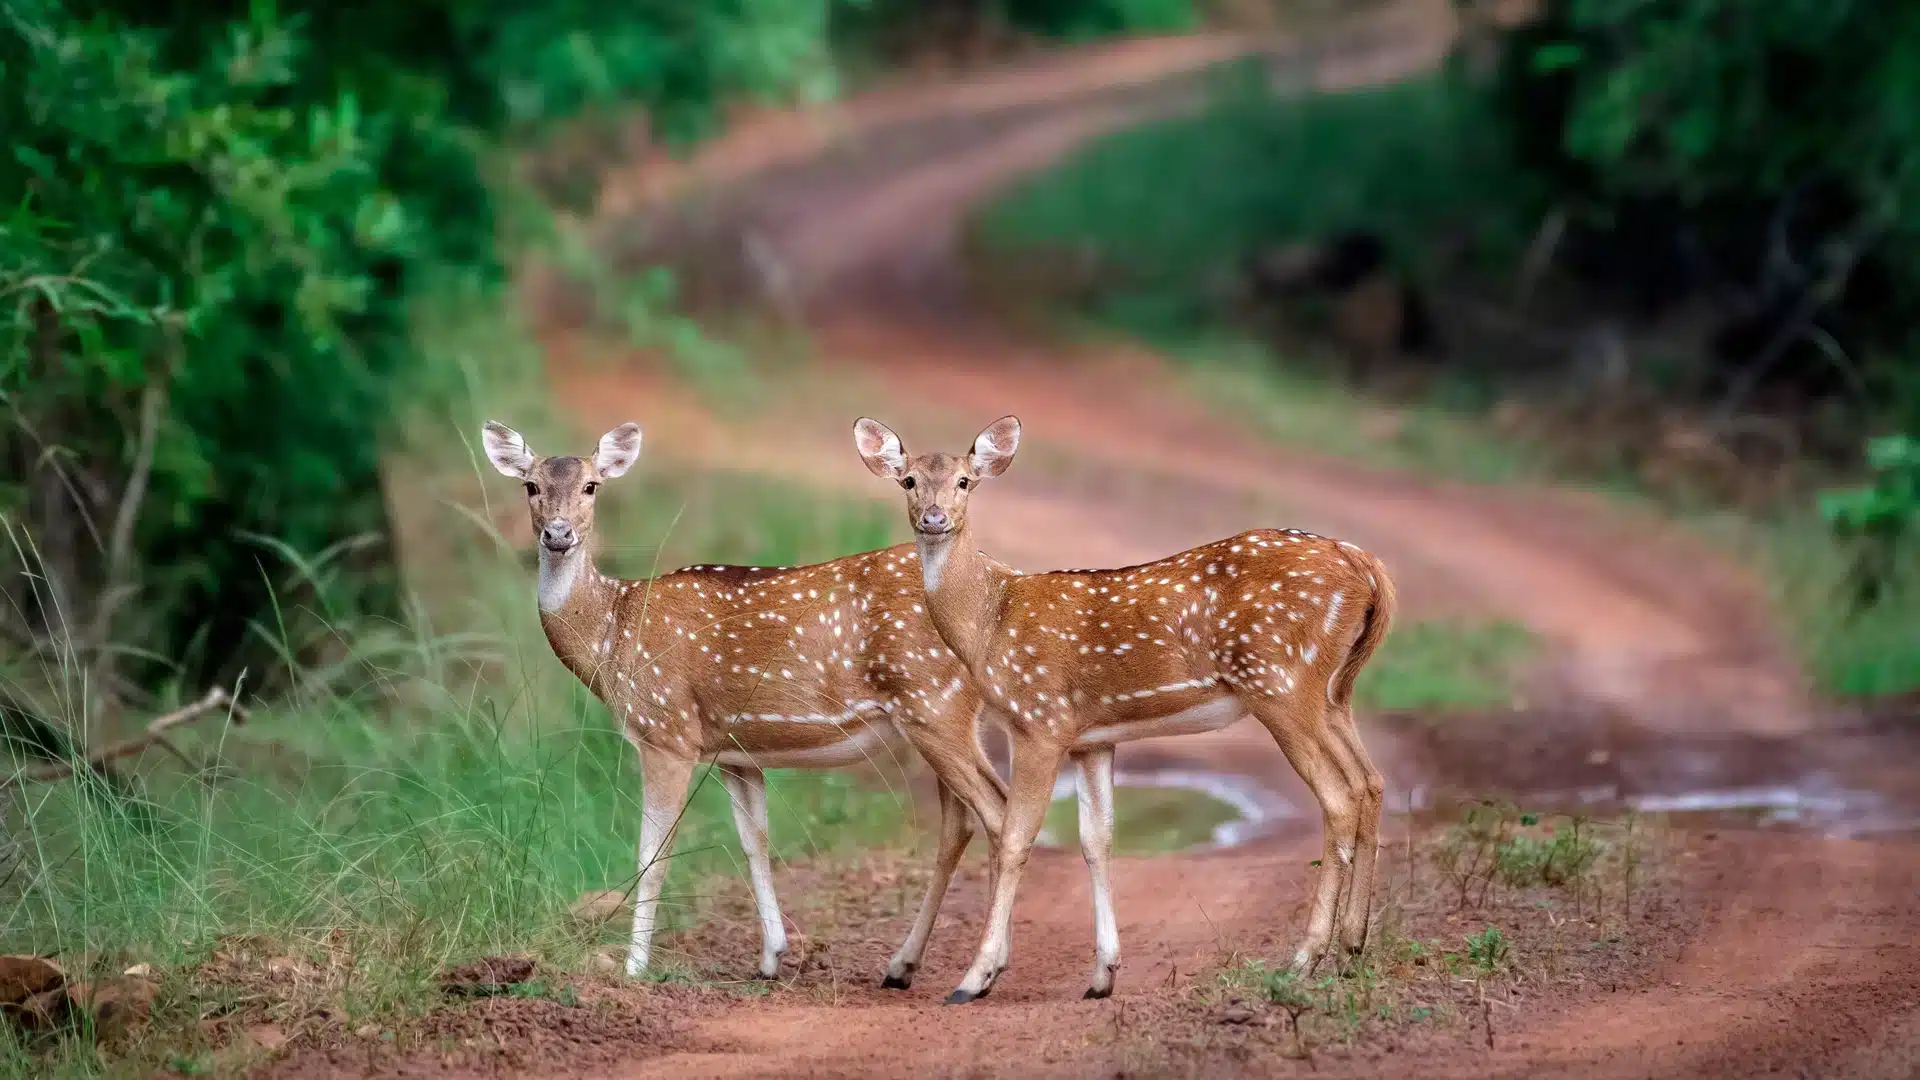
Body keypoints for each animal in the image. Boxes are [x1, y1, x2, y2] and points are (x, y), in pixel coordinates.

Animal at [481, 420, 1009, 987]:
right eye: (531, 486)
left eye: (591, 486)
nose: (557, 534)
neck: (614, 631)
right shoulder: (734, 749)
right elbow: (754, 842)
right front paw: (771, 956)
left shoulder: (667, 729)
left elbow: (654, 853)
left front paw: (634, 967)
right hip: (949, 716)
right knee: (966, 821)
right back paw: (911, 965)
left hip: (935, 706)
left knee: (997, 812)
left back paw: (977, 972)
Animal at [853, 415, 1396, 1004]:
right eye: (909, 480)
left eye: (964, 481)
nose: (934, 518)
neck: (990, 622)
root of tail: (1366, 566)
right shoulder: (1093, 738)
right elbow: (1097, 840)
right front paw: (1102, 976)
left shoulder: (1040, 718)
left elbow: (1017, 835)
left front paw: (975, 978)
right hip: (1333, 693)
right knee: (1369, 781)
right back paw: (1352, 948)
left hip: (1281, 683)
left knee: (1338, 796)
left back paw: (1305, 958)